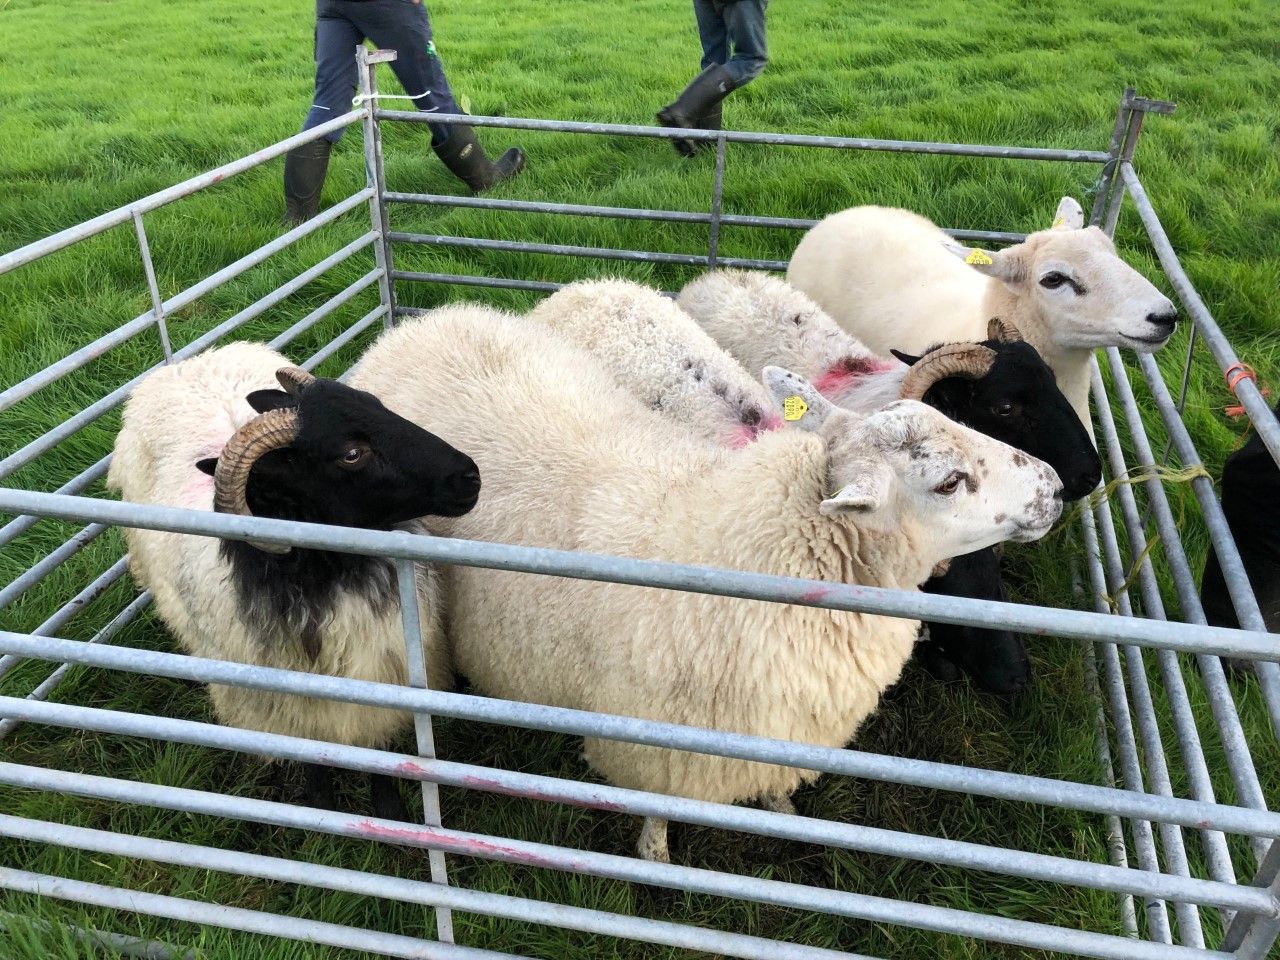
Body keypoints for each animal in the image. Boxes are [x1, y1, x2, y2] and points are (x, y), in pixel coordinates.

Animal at [107, 342, 481, 818]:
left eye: (377, 405)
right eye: (351, 454)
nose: (470, 475)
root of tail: (186, 362)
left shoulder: (382, 676)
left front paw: (388, 809)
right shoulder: (287, 703)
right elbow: (310, 757)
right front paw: (320, 803)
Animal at [350, 305, 1063, 862]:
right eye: (948, 482)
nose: (1055, 486)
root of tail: (422, 325)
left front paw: (783, 812)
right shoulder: (654, 743)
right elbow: (658, 809)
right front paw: (655, 858)